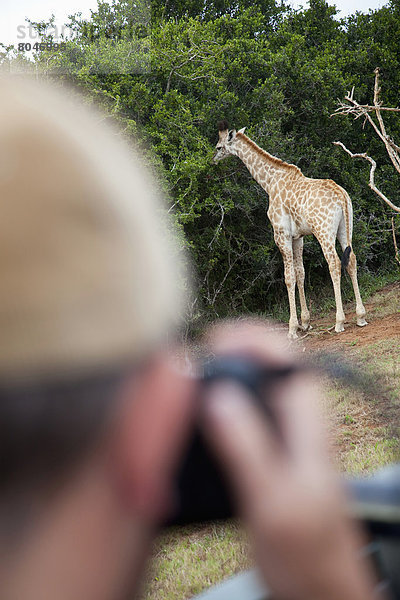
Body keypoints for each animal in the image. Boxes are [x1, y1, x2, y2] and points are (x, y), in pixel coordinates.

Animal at [214, 121, 368, 338]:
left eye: (219, 147)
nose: (213, 160)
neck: (269, 183)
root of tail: (341, 196)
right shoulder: (298, 236)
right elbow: (300, 272)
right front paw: (306, 322)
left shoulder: (281, 234)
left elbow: (288, 277)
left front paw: (292, 328)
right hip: (345, 228)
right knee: (351, 260)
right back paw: (361, 316)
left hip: (324, 231)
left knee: (334, 263)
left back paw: (339, 322)